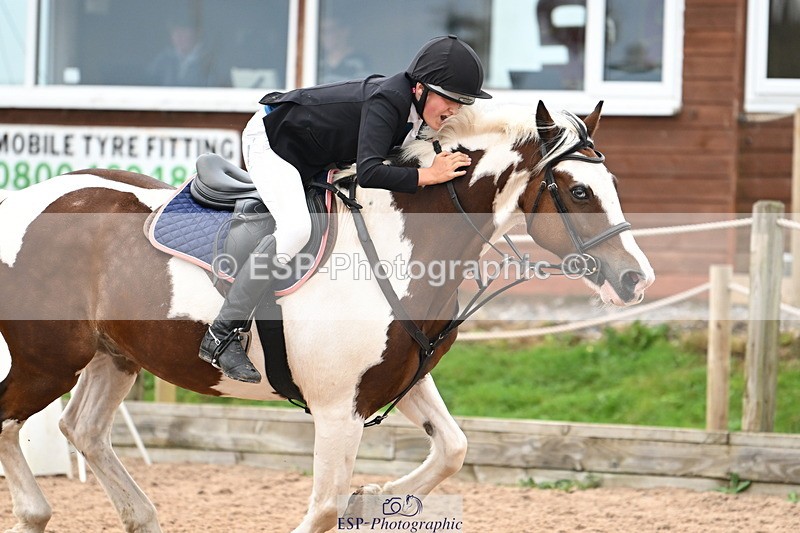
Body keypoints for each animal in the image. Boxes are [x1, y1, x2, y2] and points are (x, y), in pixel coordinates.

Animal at [0, 101, 654, 532]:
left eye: (612, 184)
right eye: (578, 192)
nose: (636, 279)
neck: (400, 244)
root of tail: (23, 201)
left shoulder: (398, 383)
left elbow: (452, 448)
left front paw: (376, 495)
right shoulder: (339, 410)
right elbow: (324, 507)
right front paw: (362, 498)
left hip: (112, 356)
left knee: (83, 429)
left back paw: (139, 515)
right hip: (46, 359)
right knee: (13, 422)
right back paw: (34, 512)